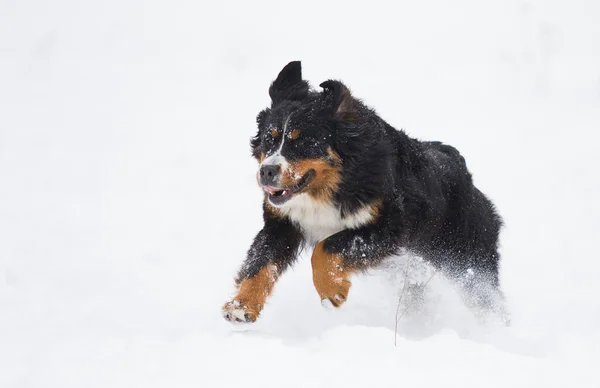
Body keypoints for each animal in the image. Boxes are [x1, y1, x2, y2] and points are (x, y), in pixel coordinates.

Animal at [223, 62, 504, 322]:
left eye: (302, 142)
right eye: (268, 139)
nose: (267, 171)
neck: (329, 188)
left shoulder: (389, 225)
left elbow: (325, 248)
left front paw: (332, 292)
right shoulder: (282, 224)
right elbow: (260, 263)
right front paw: (240, 306)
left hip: (467, 260)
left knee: (487, 300)